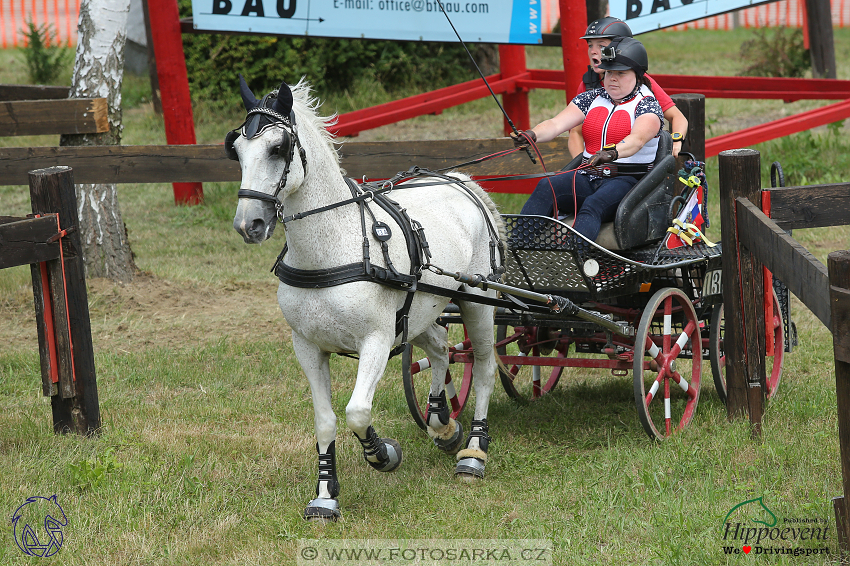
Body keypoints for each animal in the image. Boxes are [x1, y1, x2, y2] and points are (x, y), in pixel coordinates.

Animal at [229, 76, 504, 524]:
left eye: (278, 148)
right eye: (235, 148)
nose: (248, 224)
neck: (331, 249)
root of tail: (461, 181)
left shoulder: (375, 339)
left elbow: (357, 411)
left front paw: (382, 453)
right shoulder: (306, 347)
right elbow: (325, 421)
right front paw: (325, 496)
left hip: (477, 300)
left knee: (482, 368)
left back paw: (473, 452)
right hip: (419, 312)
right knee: (441, 349)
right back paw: (442, 423)